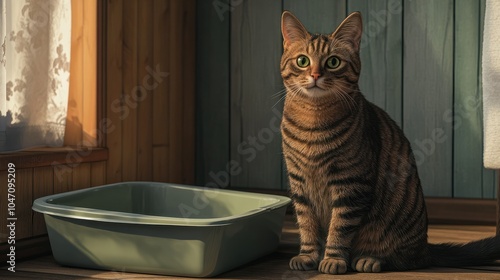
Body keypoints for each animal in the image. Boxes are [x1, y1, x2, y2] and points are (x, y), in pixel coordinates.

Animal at [280, 10, 500, 274]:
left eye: (333, 62)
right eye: (303, 61)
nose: (315, 75)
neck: (312, 121)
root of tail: (426, 247)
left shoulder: (351, 183)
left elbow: (339, 228)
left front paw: (333, 258)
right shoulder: (299, 183)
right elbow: (307, 225)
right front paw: (307, 255)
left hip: (398, 235)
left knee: (405, 260)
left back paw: (370, 259)